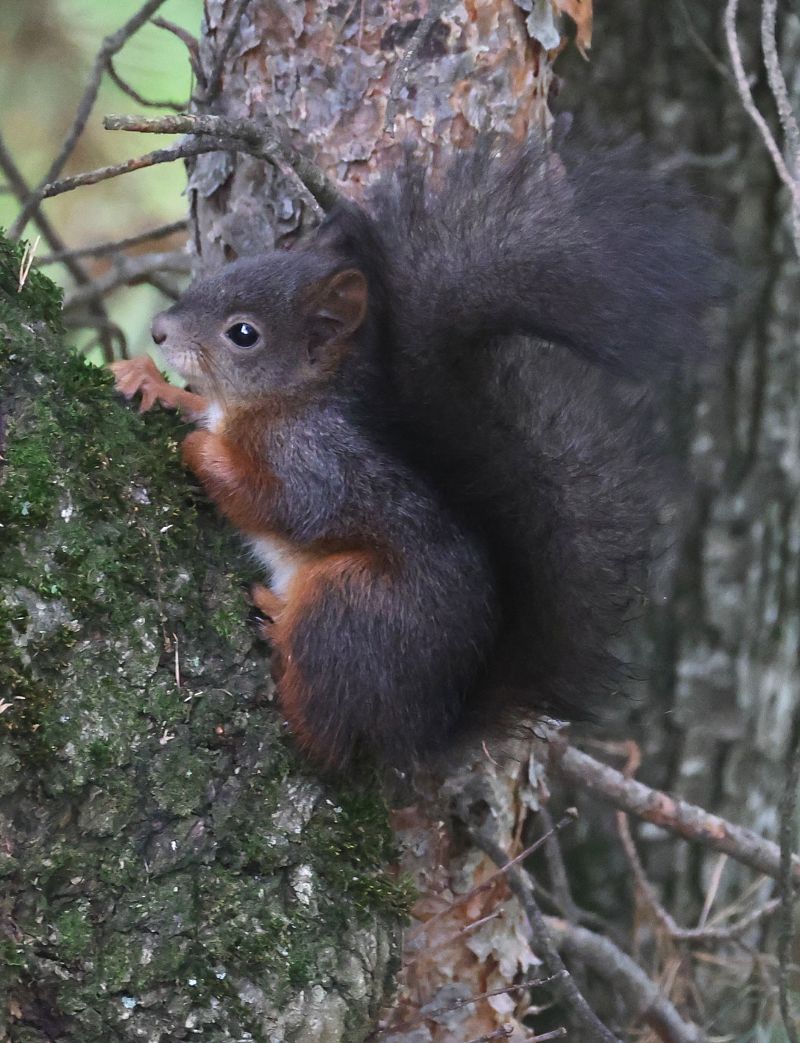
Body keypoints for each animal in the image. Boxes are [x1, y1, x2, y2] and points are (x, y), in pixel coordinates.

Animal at [111, 137, 718, 771]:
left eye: (244, 334)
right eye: (226, 270)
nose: (158, 330)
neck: (282, 403)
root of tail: (422, 727)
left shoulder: (318, 462)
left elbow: (279, 503)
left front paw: (203, 447)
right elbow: (196, 405)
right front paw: (149, 381)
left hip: (351, 602)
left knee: (327, 733)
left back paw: (280, 639)